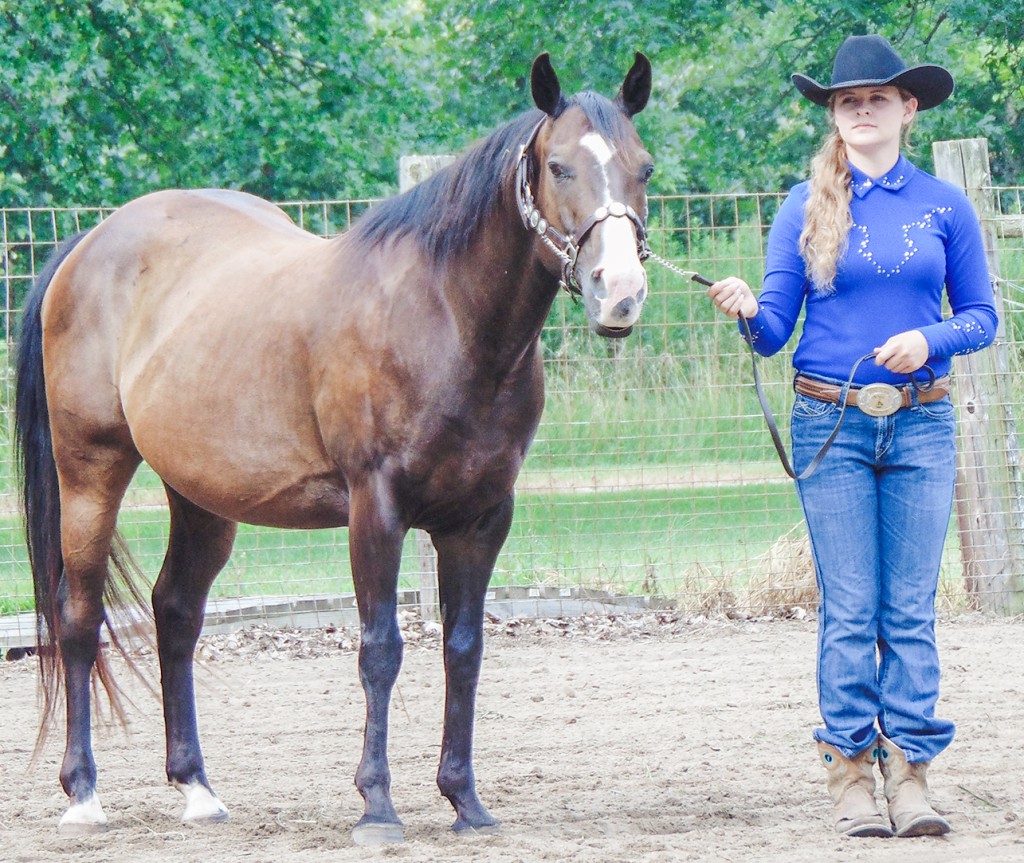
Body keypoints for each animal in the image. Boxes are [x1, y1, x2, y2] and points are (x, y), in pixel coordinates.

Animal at [16, 48, 651, 843]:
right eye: (560, 166)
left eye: (644, 167)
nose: (620, 291)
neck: (445, 319)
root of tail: (88, 244)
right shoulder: (375, 509)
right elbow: (380, 649)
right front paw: (377, 805)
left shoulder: (481, 520)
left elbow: (464, 650)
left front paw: (465, 800)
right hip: (90, 472)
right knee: (76, 614)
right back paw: (82, 794)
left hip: (201, 496)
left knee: (177, 612)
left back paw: (196, 787)